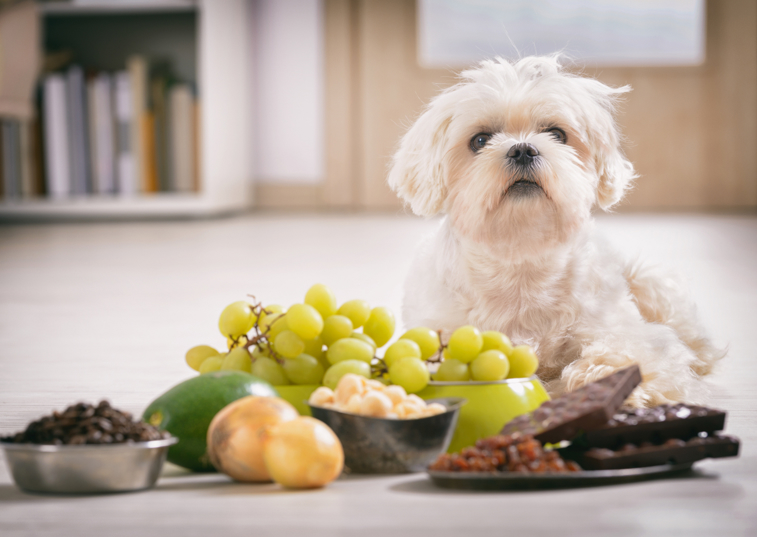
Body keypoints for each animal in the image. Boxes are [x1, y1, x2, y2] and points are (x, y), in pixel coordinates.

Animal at [390, 55, 720, 406]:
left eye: (557, 134)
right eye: (480, 140)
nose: (522, 149)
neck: (521, 254)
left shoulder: (630, 334)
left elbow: (628, 354)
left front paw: (604, 381)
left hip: (648, 283)